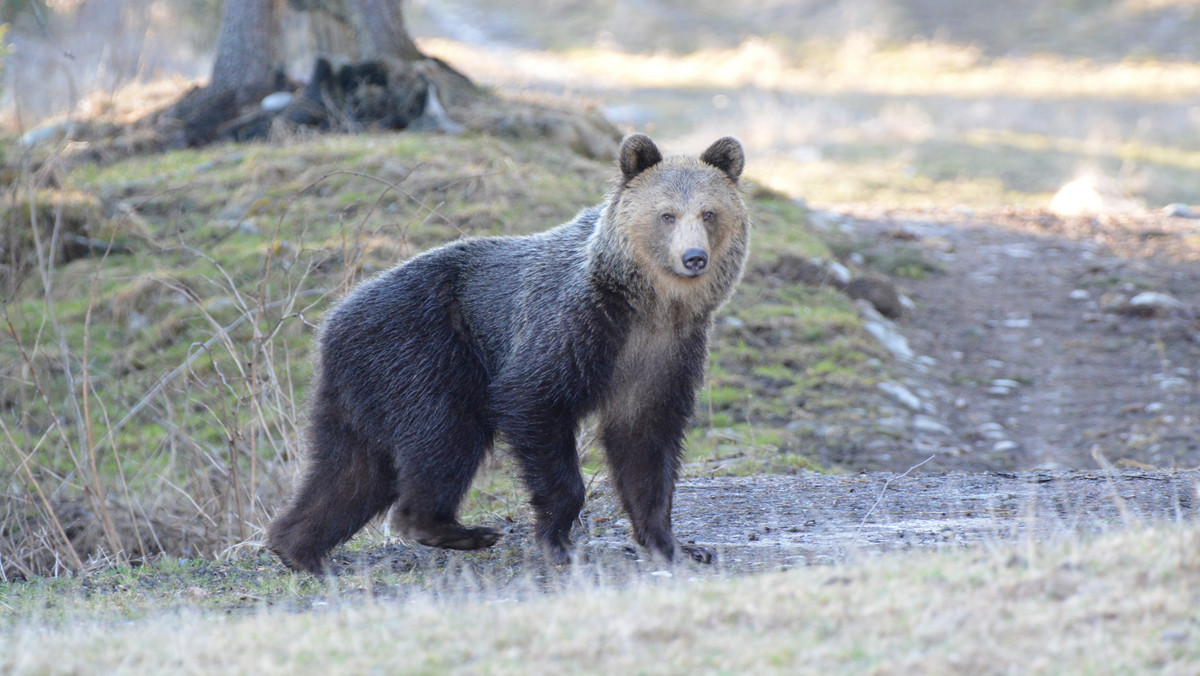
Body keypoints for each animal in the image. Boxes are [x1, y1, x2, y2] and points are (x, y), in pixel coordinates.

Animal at [267, 133, 744, 576]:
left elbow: (647, 444)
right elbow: (535, 405)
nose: (693, 257)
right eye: (666, 214)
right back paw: (458, 530)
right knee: (444, 435)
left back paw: (301, 549)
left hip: (365, 387)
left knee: (350, 471)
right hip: (425, 355)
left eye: (709, 213)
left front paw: (681, 546)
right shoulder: (568, 331)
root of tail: (331, 323)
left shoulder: (664, 355)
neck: (645, 307)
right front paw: (561, 543)